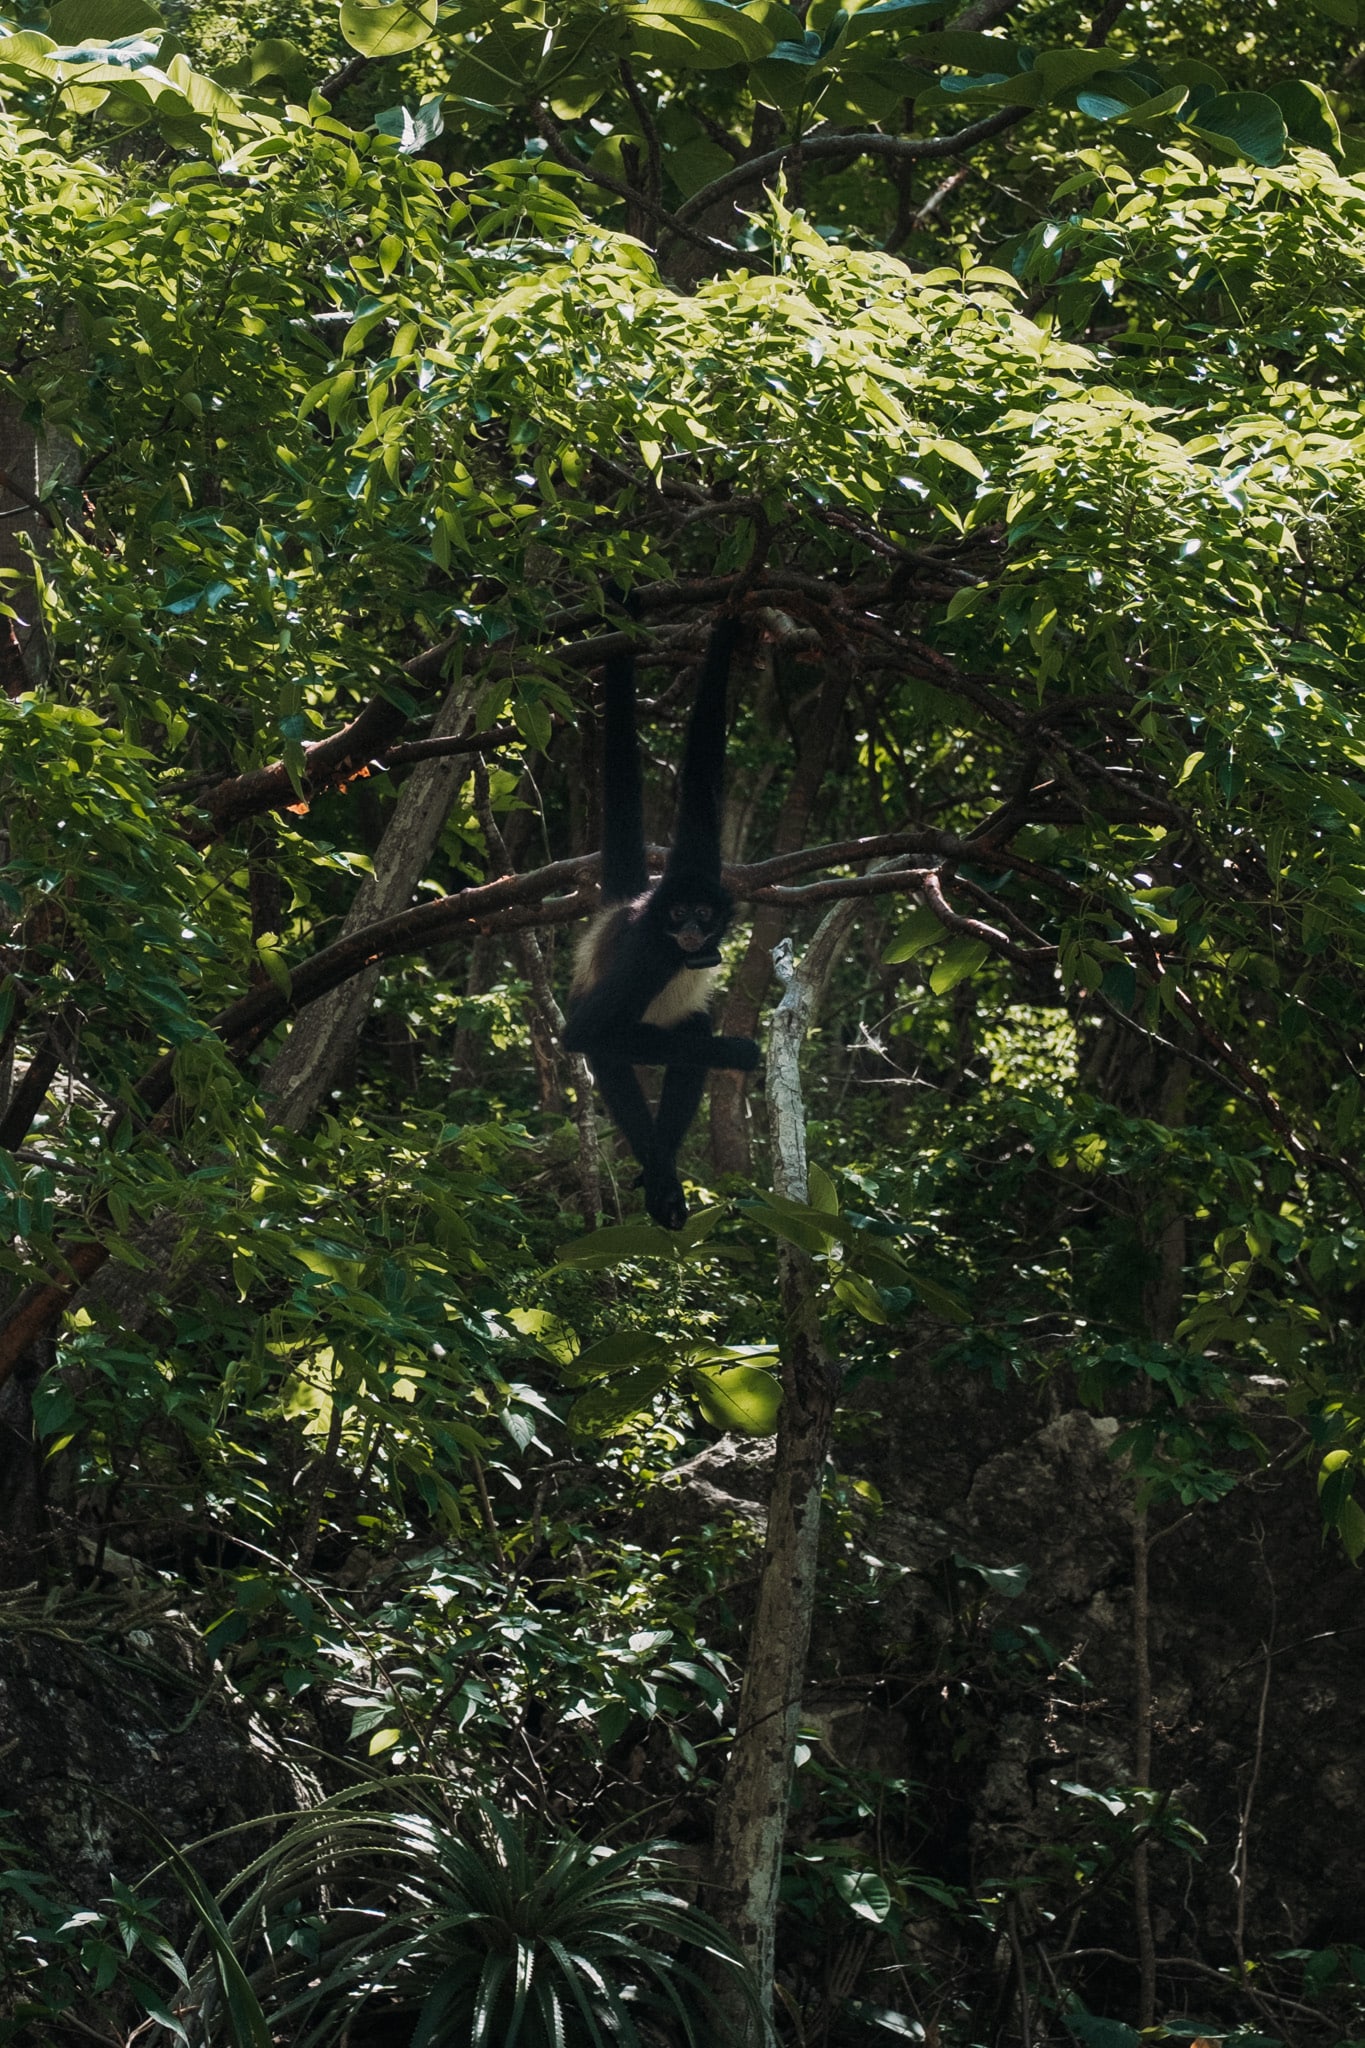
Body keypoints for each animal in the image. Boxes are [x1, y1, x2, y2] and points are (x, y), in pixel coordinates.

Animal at [562, 615, 760, 1230]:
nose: (693, 930)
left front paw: (729, 629)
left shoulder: (700, 864)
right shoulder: (650, 951)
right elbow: (584, 1036)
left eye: (703, 912)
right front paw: (735, 1053)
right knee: (609, 1044)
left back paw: (662, 1166)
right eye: (677, 914)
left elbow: (702, 782)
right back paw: (657, 1170)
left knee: (689, 1029)